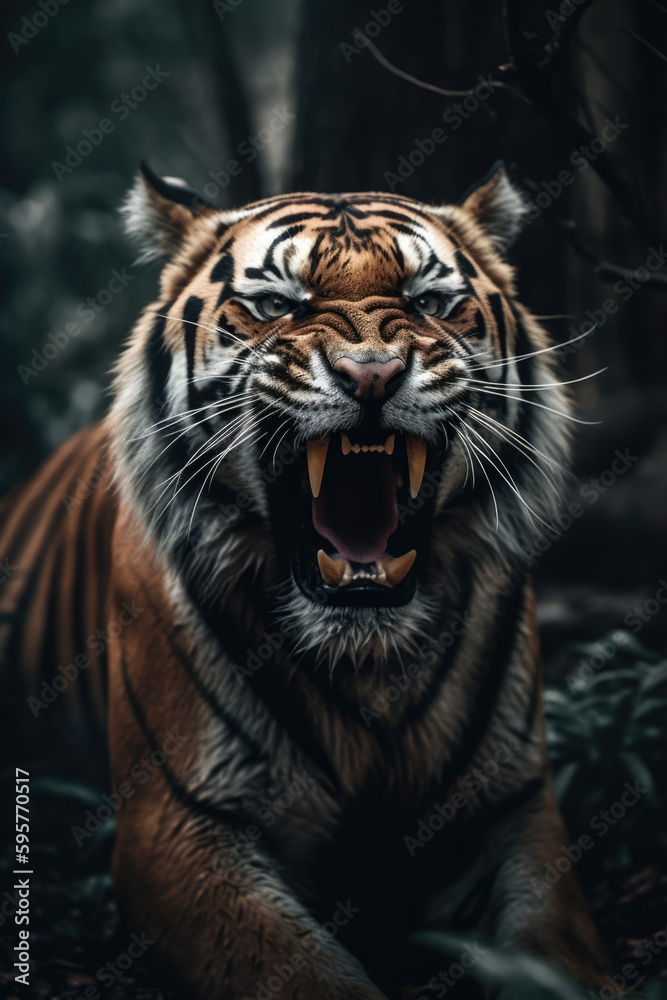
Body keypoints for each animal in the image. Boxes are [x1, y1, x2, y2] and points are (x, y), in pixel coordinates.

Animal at [0, 161, 615, 998]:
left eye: (428, 302)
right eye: (275, 306)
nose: (372, 375)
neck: (369, 657)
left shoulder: (512, 808)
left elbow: (563, 957)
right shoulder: (180, 823)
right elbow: (303, 975)